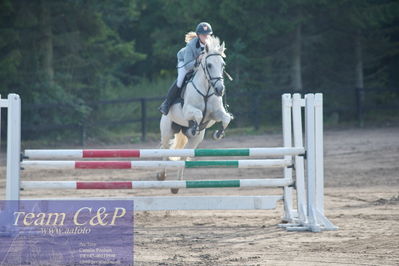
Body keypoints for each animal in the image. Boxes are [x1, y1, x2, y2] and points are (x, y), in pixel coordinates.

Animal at [159, 35, 234, 193]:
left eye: (223, 65)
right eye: (209, 65)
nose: (220, 90)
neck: (206, 89)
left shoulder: (216, 114)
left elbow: (225, 118)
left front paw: (218, 134)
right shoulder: (188, 111)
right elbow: (198, 114)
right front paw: (194, 126)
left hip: (195, 140)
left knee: (183, 156)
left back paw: (176, 186)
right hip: (167, 130)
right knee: (164, 149)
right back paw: (161, 175)